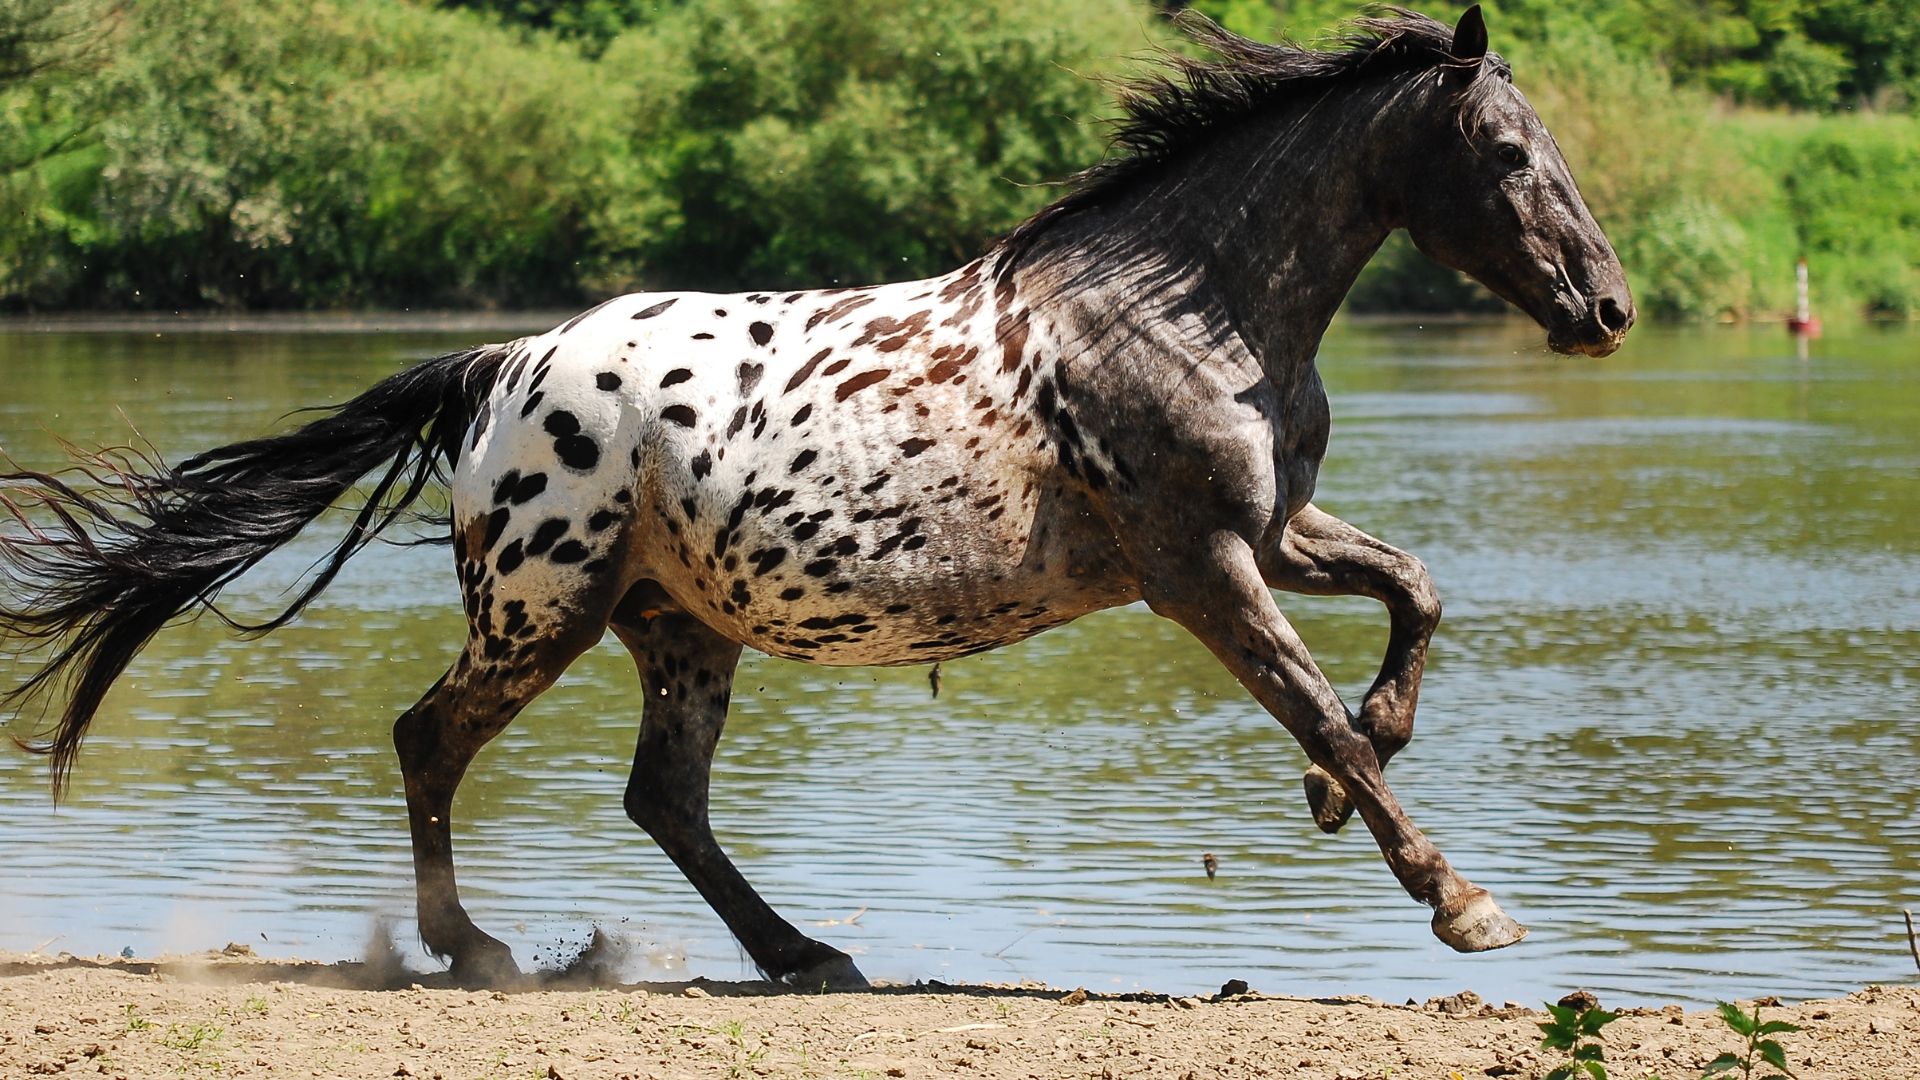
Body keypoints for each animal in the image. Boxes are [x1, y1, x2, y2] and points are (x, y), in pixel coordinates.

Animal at [0, 6, 1631, 988]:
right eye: (1505, 151)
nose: (1606, 309)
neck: (1185, 310)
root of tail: (502, 365)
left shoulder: (1271, 536)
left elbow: (1415, 599)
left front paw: (1344, 780)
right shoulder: (1197, 568)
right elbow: (1318, 707)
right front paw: (1462, 902)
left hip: (676, 628)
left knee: (660, 798)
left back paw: (800, 955)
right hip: (543, 608)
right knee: (430, 739)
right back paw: (477, 951)